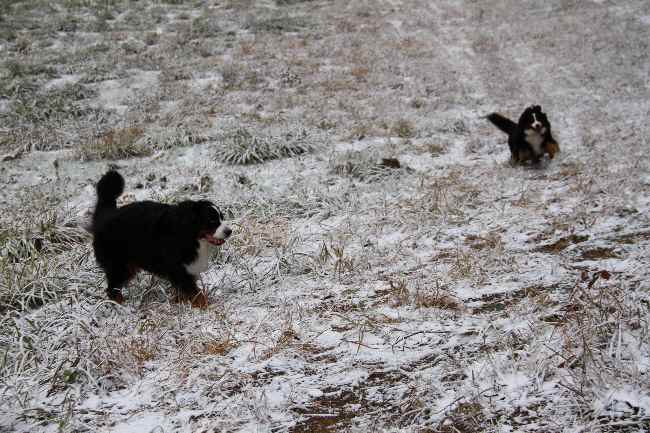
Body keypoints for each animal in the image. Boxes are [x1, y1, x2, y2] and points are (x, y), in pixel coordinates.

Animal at [90, 169, 232, 308]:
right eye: (211, 220)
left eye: (221, 217)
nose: (229, 231)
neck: (190, 235)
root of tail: (106, 215)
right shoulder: (178, 269)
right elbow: (195, 293)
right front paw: (206, 306)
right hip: (119, 265)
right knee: (112, 289)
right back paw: (120, 307)